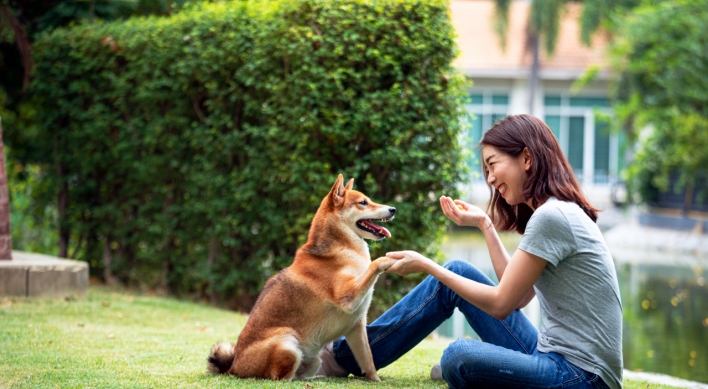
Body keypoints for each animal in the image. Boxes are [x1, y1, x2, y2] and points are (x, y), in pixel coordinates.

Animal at [207, 174, 398, 380]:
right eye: (363, 202)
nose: (393, 209)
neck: (340, 250)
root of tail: (234, 367)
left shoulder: (356, 326)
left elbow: (368, 360)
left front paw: (375, 380)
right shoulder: (347, 297)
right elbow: (374, 264)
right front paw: (388, 260)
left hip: (314, 360)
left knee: (299, 376)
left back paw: (318, 379)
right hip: (288, 344)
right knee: (281, 379)